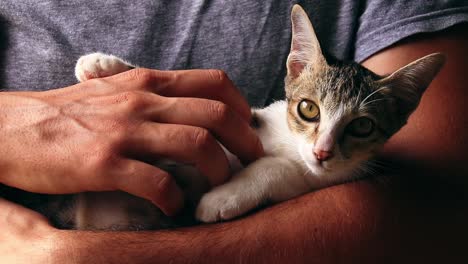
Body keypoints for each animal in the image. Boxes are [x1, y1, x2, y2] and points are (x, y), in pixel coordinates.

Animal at [17, 4, 446, 229]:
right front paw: (104, 65)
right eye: (309, 108)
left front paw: (222, 197)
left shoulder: (323, 178)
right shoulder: (247, 116)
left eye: (362, 126)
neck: (288, 143)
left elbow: (281, 171)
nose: (322, 152)